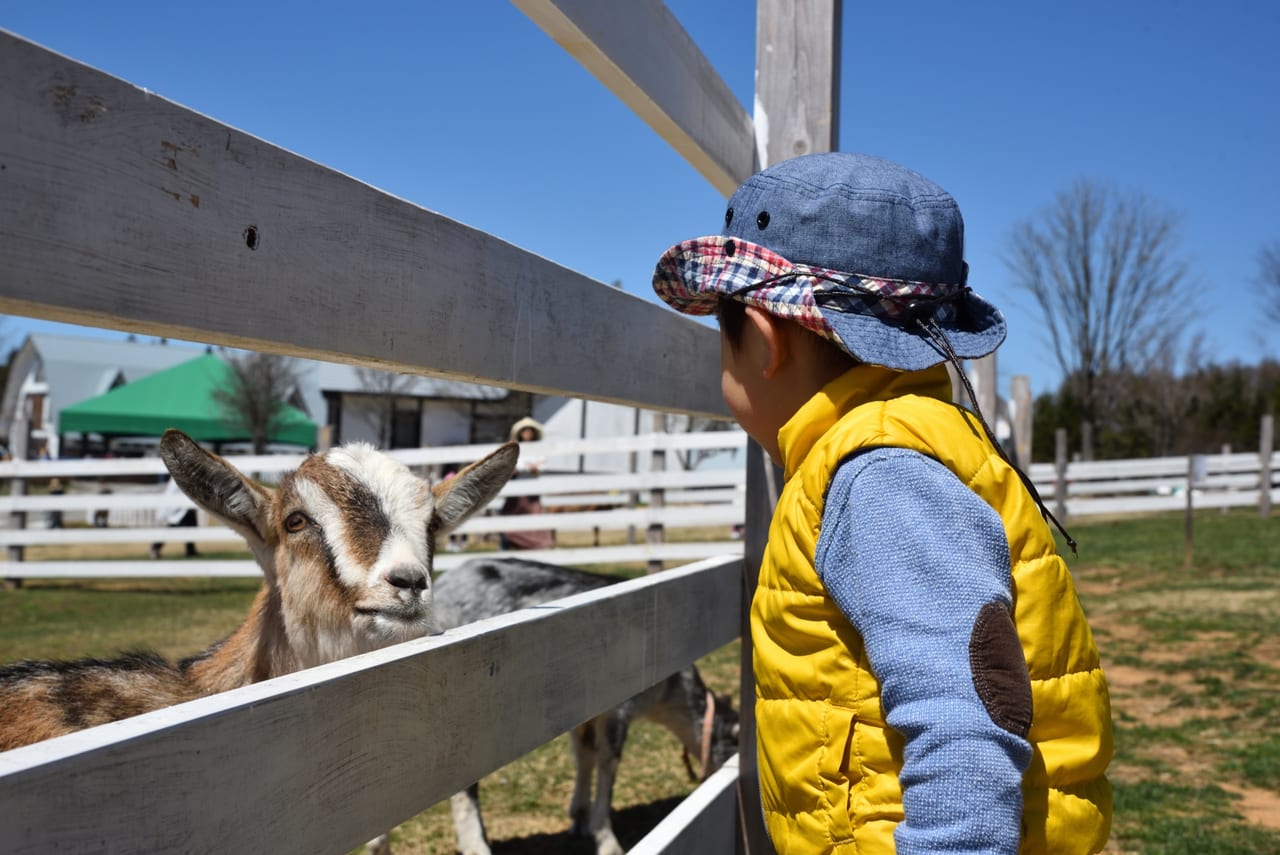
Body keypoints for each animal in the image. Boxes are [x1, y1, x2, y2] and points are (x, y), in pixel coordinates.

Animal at [422, 555, 742, 855]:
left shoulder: (586, 711)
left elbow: (584, 755)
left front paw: (579, 820)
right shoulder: (618, 709)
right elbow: (608, 763)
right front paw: (606, 839)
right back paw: (476, 844)